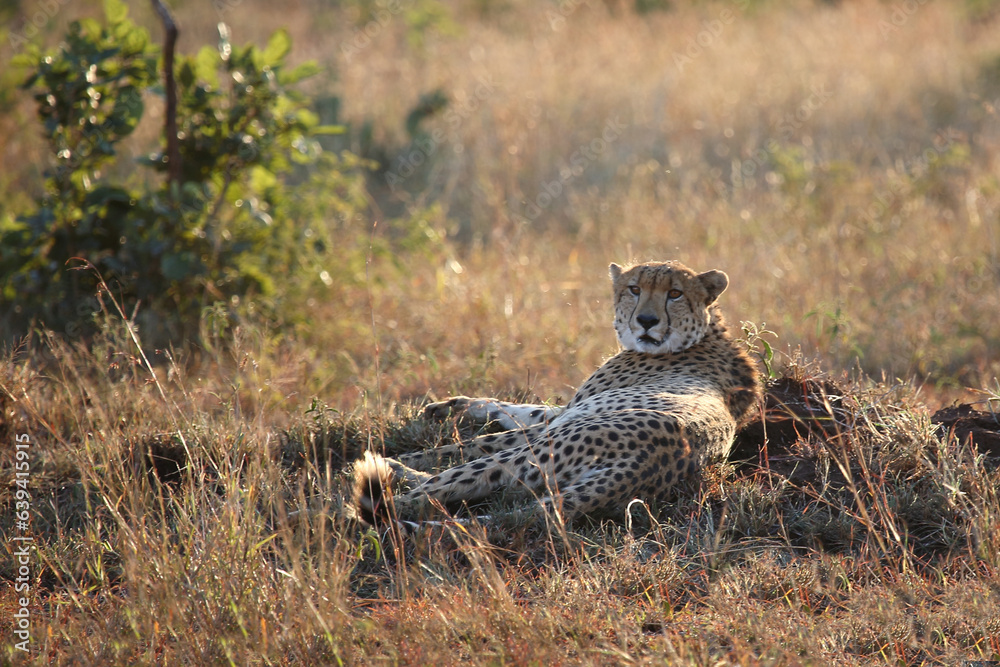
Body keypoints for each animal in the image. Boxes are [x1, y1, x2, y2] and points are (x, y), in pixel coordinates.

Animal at [352, 260, 761, 530]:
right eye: (635, 289)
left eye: (675, 293)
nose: (647, 321)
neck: (703, 334)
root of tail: (655, 462)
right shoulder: (560, 413)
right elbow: (521, 408)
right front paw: (453, 405)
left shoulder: (561, 421)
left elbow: (468, 443)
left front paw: (405, 452)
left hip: (531, 456)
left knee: (427, 493)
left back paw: (371, 486)